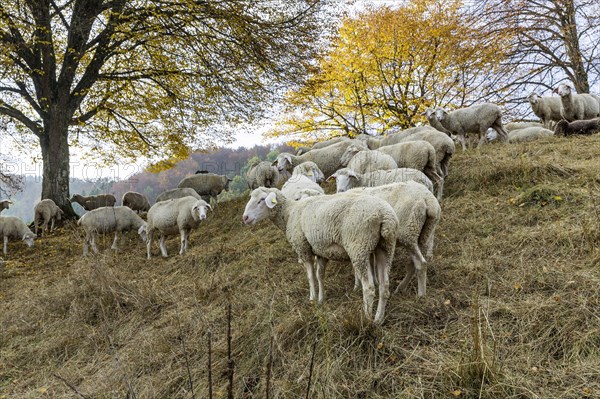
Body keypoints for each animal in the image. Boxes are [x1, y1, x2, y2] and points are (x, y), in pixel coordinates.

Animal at [241, 188, 400, 324]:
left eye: (261, 199)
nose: (245, 218)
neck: (289, 213)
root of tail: (384, 215)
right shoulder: (320, 250)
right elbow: (320, 275)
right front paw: (321, 299)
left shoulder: (303, 248)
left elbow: (311, 276)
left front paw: (312, 298)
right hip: (385, 246)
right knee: (384, 286)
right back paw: (378, 319)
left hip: (358, 246)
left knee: (369, 288)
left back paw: (366, 318)